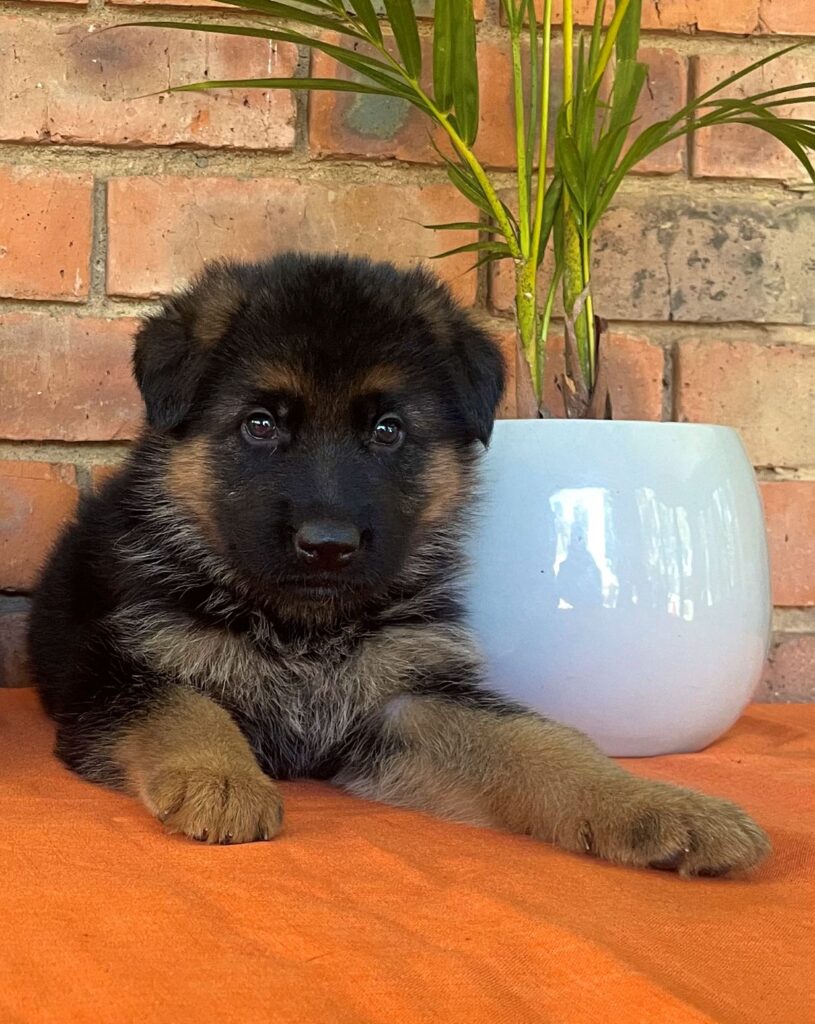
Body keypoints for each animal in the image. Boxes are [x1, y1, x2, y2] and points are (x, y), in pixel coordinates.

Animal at [28, 253, 769, 875]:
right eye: (260, 425)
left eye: (387, 431)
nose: (328, 544)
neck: (304, 627)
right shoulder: (120, 675)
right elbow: (185, 705)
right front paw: (221, 780)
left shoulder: (409, 699)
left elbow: (544, 744)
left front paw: (655, 806)